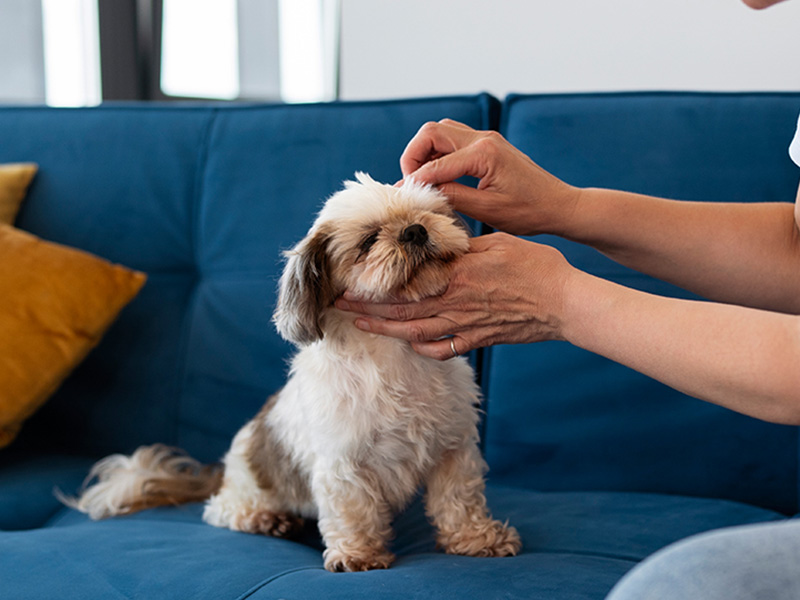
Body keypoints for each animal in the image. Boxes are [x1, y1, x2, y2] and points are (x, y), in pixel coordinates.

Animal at [65, 172, 520, 572]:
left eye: (428, 214)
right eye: (368, 241)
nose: (414, 231)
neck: (394, 355)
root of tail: (223, 470)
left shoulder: (454, 448)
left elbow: (459, 500)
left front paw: (477, 539)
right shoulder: (342, 465)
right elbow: (353, 511)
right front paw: (356, 555)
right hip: (250, 489)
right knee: (221, 511)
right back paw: (267, 519)